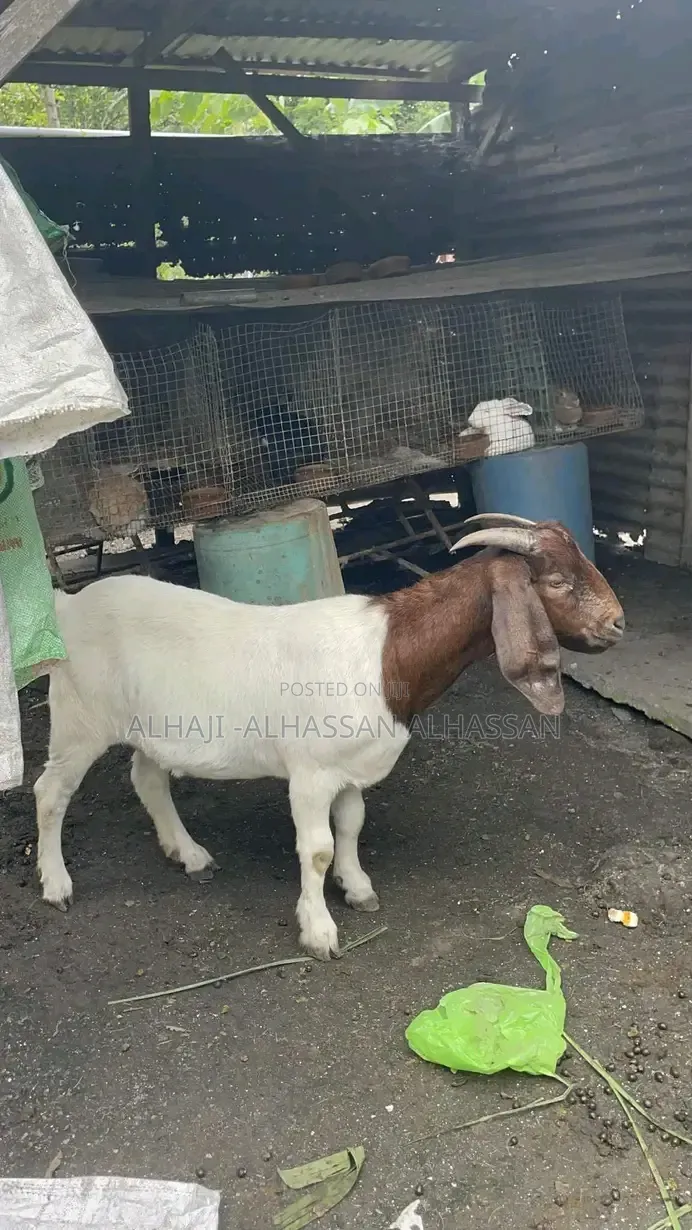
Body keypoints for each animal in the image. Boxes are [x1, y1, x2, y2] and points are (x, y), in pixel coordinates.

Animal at [34, 514, 624, 960]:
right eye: (557, 582)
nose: (618, 624)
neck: (387, 653)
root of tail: (68, 604)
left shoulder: (349, 770)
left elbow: (352, 824)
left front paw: (357, 888)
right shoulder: (311, 774)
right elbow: (316, 849)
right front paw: (318, 932)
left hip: (155, 726)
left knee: (148, 778)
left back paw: (190, 854)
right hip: (79, 719)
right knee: (50, 793)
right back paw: (57, 885)